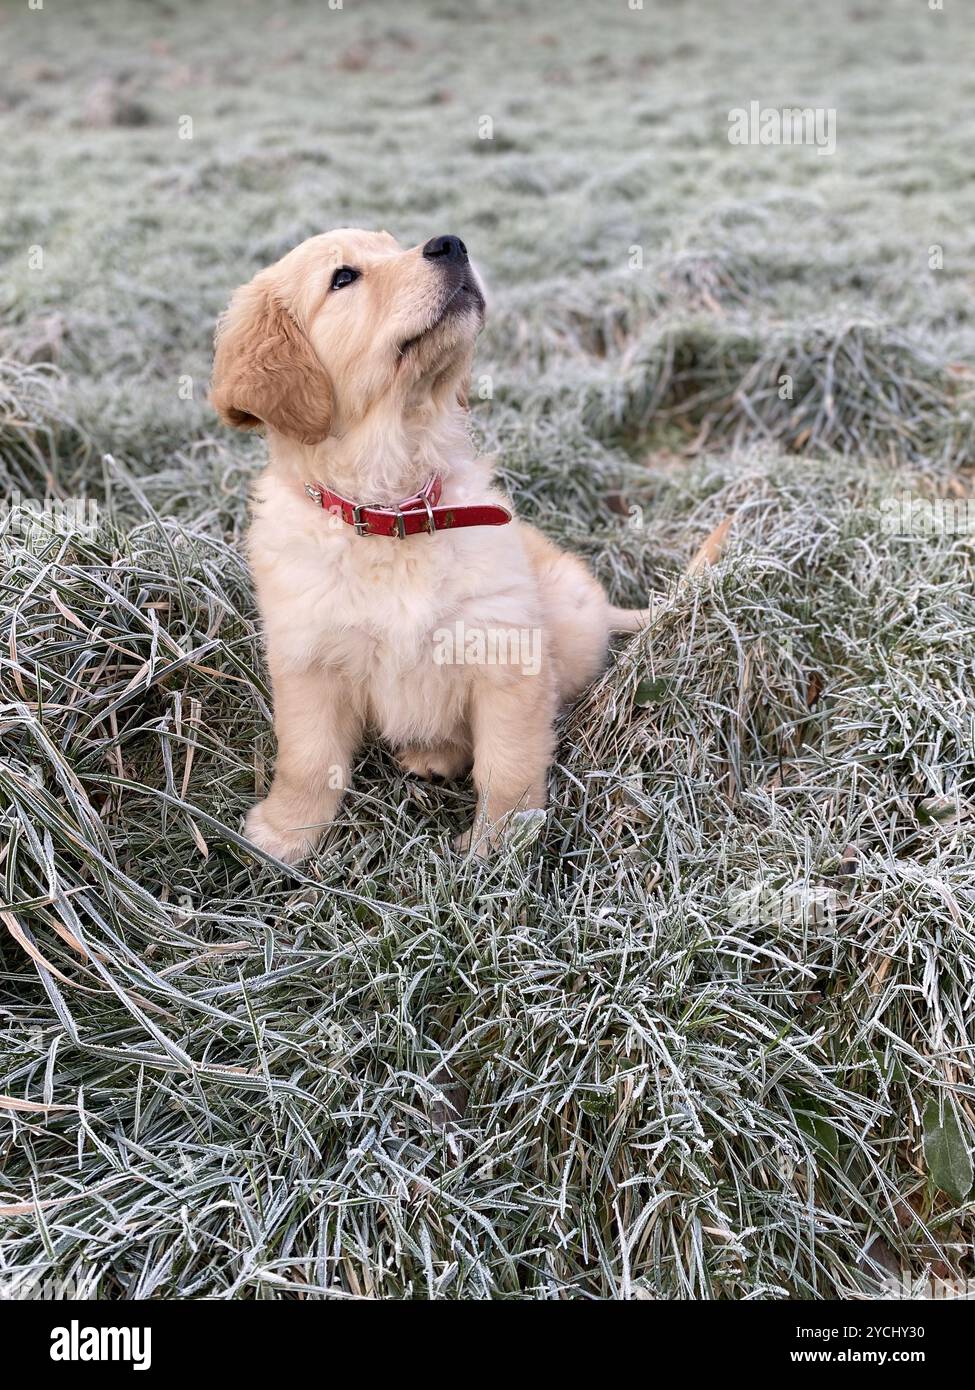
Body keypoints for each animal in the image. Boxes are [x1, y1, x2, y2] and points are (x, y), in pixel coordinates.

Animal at [211, 226, 645, 856]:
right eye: (343, 278)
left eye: (395, 244)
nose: (451, 243)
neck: (397, 512)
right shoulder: (307, 659)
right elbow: (308, 758)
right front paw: (286, 833)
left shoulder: (505, 651)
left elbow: (508, 763)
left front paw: (499, 847)